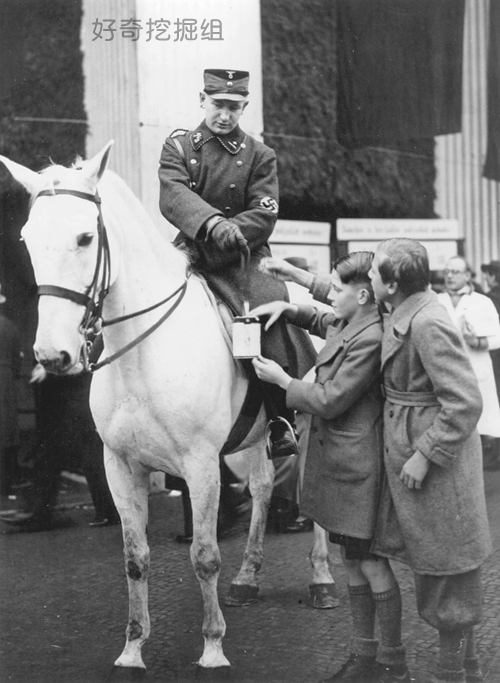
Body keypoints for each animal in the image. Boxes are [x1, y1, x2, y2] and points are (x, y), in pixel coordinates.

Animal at [0, 142, 336, 676]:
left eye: (85, 236)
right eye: (27, 239)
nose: (53, 356)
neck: (141, 353)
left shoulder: (200, 464)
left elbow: (204, 555)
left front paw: (213, 647)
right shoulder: (120, 465)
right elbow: (134, 558)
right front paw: (133, 648)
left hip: (310, 419)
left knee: (310, 493)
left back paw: (322, 580)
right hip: (252, 438)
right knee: (263, 487)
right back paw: (247, 577)